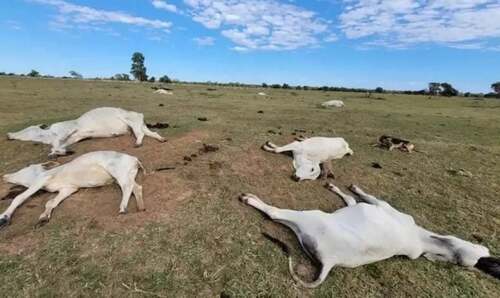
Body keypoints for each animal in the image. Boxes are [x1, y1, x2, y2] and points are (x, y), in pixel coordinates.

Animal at [1, 150, 146, 227]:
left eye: (27, 167)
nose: (4, 176)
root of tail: (134, 159)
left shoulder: (41, 180)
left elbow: (19, 197)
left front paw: (3, 217)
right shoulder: (69, 188)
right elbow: (51, 202)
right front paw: (43, 217)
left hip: (117, 172)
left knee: (127, 187)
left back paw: (123, 208)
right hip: (127, 175)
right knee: (137, 187)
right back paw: (140, 207)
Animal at [6, 107, 166, 158]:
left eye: (27, 129)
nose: (9, 135)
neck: (49, 134)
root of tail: (139, 114)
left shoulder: (68, 129)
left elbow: (57, 144)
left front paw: (56, 152)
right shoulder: (74, 137)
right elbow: (60, 146)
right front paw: (59, 152)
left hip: (132, 123)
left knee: (140, 134)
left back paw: (138, 143)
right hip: (139, 125)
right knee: (152, 133)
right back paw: (161, 139)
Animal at [240, 183, 498, 288]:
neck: (421, 237)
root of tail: (331, 262)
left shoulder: (381, 204)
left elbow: (362, 196)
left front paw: (354, 188)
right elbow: (350, 200)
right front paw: (336, 188)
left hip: (308, 217)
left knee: (274, 213)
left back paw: (251, 199)